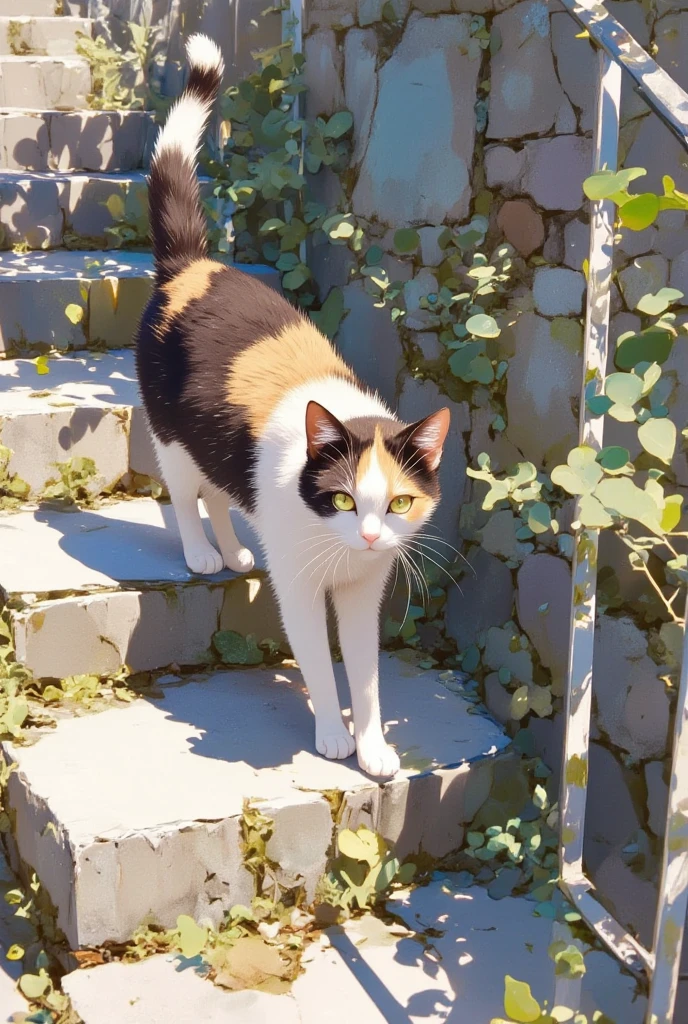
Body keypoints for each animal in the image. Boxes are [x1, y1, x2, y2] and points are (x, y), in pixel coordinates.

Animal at [138, 36, 450, 778]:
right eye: (340, 498)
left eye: (399, 502)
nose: (370, 536)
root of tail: (191, 265)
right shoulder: (303, 586)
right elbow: (316, 658)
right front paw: (333, 735)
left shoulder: (365, 590)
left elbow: (366, 673)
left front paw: (374, 745)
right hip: (173, 433)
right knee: (184, 492)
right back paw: (202, 553)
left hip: (217, 445)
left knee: (220, 492)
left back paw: (233, 552)